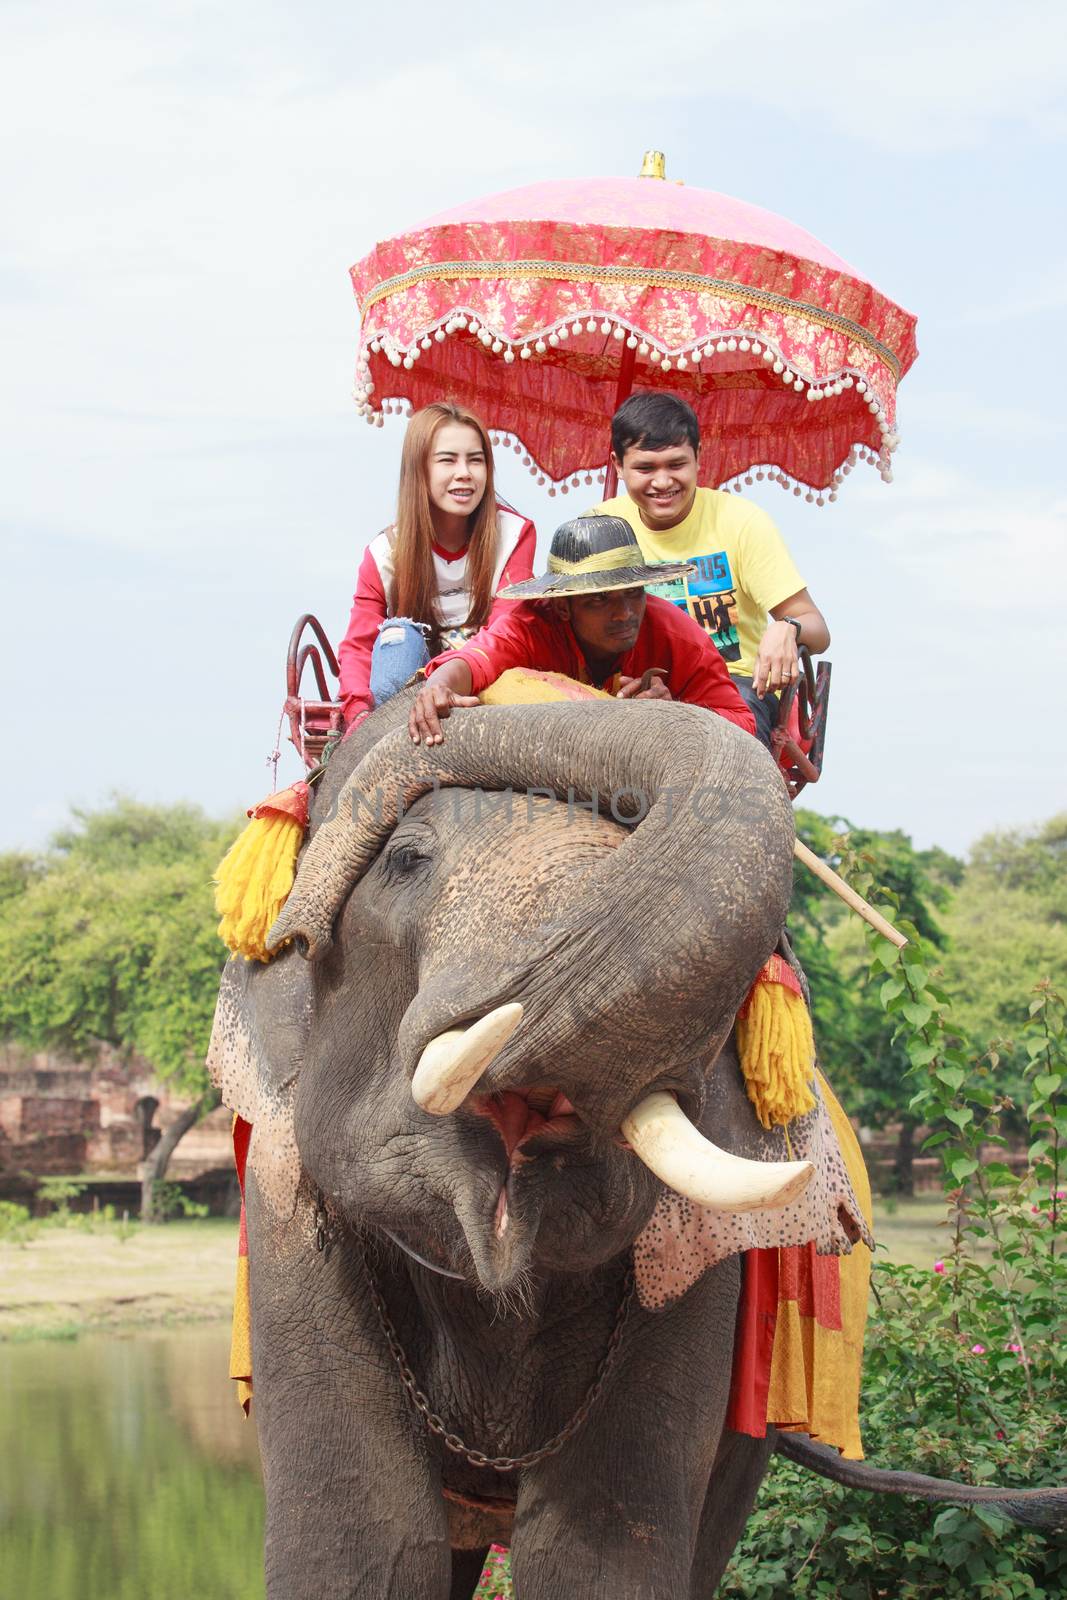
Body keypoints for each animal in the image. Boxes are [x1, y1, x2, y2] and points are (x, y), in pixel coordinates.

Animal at [204, 691, 1062, 1600]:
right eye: (405, 860)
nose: (438, 707)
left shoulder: (704, 1264)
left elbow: (597, 1552)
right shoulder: (285, 1210)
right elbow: (369, 1544)